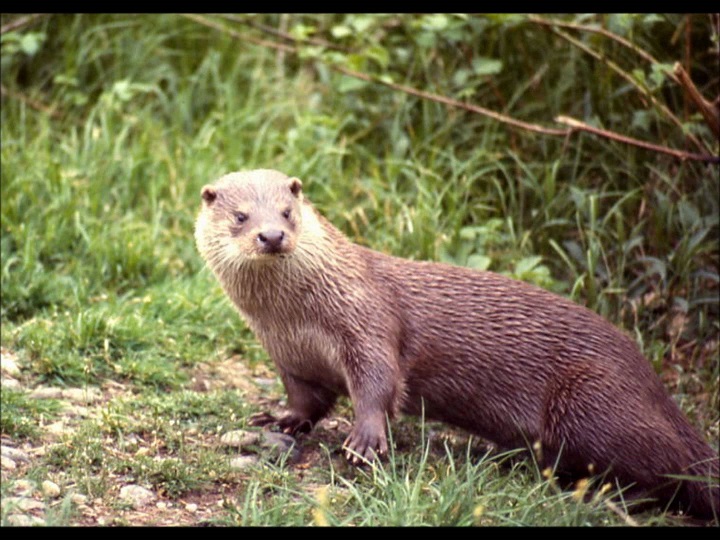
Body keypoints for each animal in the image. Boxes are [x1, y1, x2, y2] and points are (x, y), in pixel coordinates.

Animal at [195, 169, 720, 520]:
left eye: (288, 212)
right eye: (240, 216)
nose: (272, 235)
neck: (297, 321)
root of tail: (656, 387)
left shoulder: (367, 321)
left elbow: (379, 383)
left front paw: (365, 440)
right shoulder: (289, 357)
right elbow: (308, 400)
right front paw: (279, 419)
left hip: (591, 399)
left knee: (666, 470)